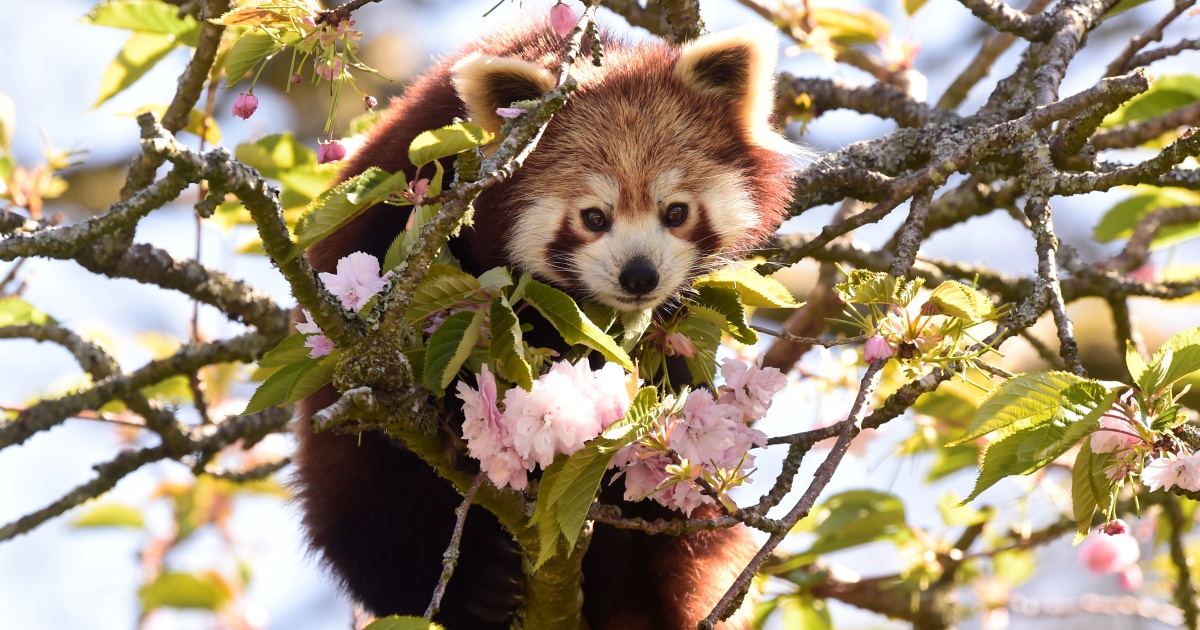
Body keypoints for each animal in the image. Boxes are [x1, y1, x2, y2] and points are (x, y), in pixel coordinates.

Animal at [290, 14, 796, 628]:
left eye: (676, 211)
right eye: (593, 217)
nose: (639, 275)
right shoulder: (407, 181)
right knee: (372, 519)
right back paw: (478, 589)